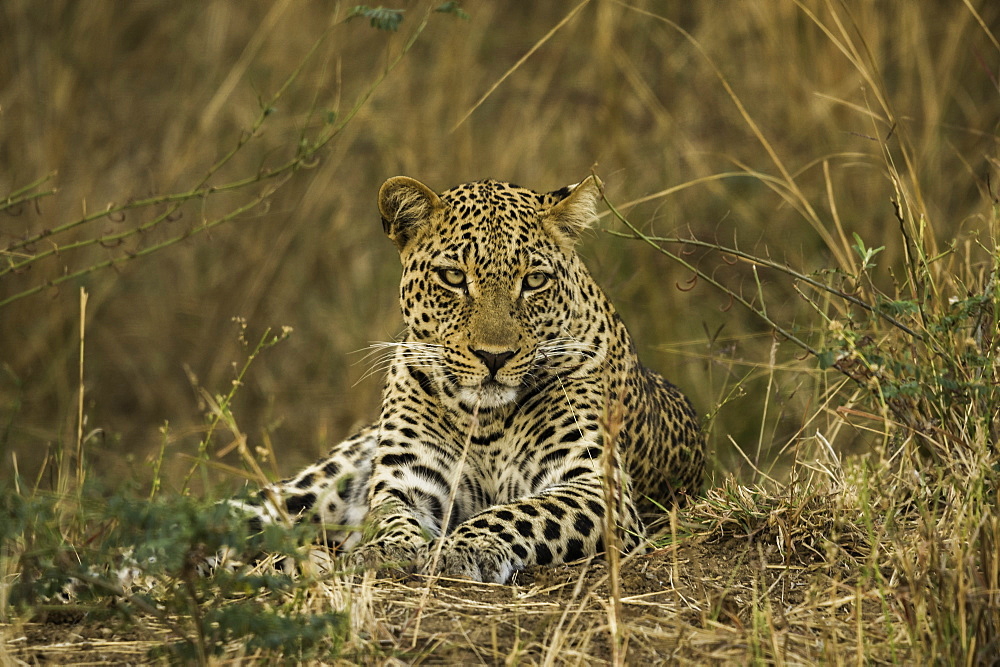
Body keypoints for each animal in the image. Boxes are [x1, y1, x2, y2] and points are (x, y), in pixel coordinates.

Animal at [234, 175, 704, 580]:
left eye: (534, 280)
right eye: (454, 277)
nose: (494, 357)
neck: (486, 421)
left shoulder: (594, 483)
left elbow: (520, 513)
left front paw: (463, 549)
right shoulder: (409, 476)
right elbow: (389, 515)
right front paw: (382, 550)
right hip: (315, 486)